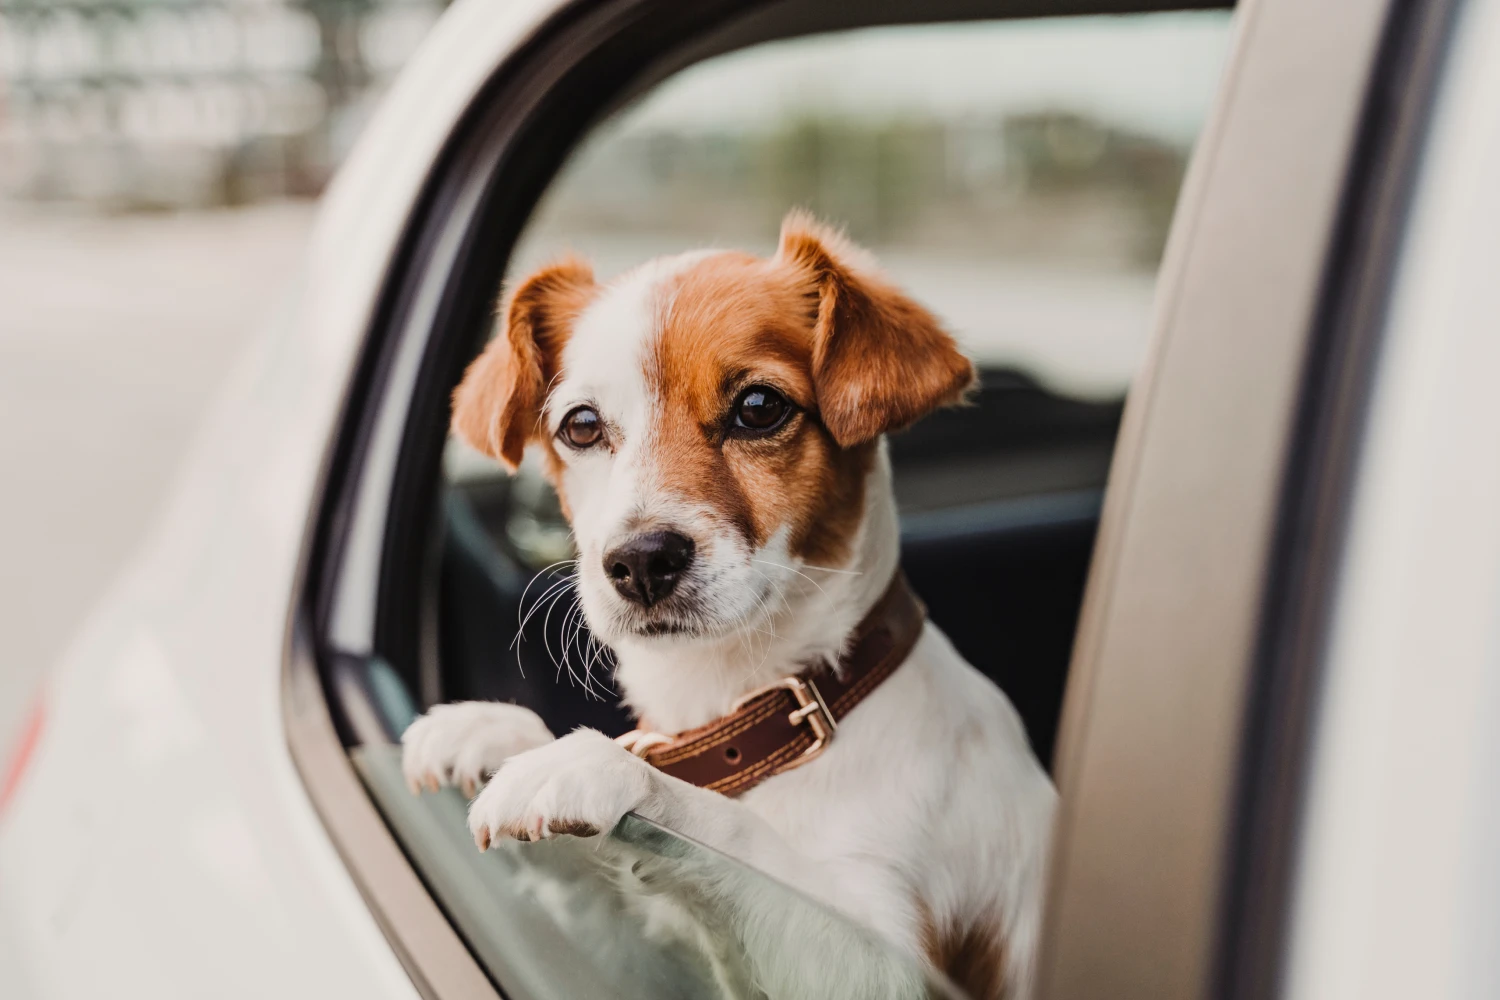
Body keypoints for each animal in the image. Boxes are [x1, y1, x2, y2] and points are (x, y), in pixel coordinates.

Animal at [399, 211, 1056, 1000]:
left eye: (759, 408)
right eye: (581, 425)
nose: (640, 561)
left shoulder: (892, 968)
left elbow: (732, 835)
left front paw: (592, 763)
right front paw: (495, 731)